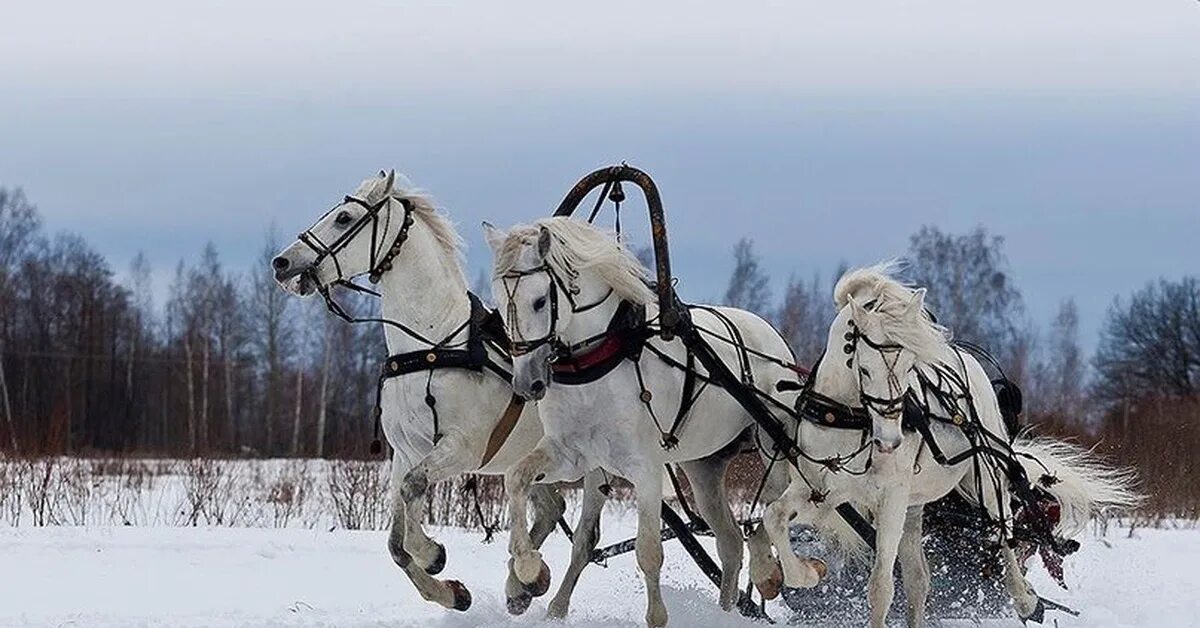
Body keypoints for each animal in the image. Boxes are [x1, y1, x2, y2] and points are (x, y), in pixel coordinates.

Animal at [274, 170, 604, 614]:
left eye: (344, 218)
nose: (282, 263)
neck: (430, 346)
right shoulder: (406, 452)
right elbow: (396, 543)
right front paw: (450, 590)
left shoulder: (462, 448)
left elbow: (413, 492)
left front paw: (431, 553)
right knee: (552, 511)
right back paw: (522, 584)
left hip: (597, 467)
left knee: (585, 540)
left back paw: (548, 598)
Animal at [482, 217, 801, 628]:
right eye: (499, 301)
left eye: (539, 300)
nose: (527, 383)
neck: (596, 362)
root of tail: (774, 335)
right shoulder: (573, 456)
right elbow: (524, 485)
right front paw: (532, 577)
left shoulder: (645, 470)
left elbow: (649, 551)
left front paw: (657, 617)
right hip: (704, 466)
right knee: (730, 541)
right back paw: (725, 610)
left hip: (772, 446)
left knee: (778, 507)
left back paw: (767, 570)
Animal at [763, 264, 1137, 628]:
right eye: (864, 368)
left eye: (909, 365)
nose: (891, 441)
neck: (847, 417)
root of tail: (964, 357)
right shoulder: (821, 490)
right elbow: (774, 516)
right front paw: (805, 572)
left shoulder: (890, 498)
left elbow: (881, 585)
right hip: (913, 507)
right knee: (918, 579)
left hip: (985, 479)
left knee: (1004, 532)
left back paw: (1026, 599)